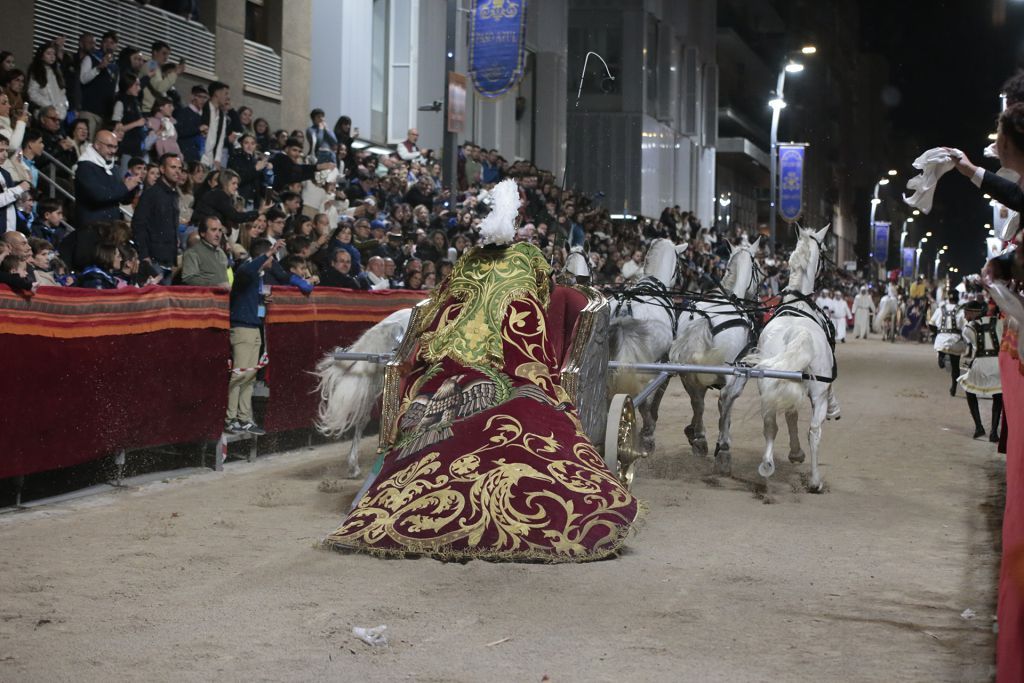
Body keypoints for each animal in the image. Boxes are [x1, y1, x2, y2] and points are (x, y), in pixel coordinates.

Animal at [671, 235, 761, 475]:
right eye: (759, 267)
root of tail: (705, 319)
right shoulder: (737, 376)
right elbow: (726, 407)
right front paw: (723, 443)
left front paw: (693, 431)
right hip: (733, 372)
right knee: (723, 399)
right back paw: (723, 452)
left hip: (687, 374)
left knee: (697, 401)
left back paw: (699, 440)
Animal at [745, 227, 839, 493]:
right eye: (825, 251)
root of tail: (796, 332)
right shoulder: (822, 384)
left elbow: (790, 415)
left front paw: (795, 453)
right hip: (817, 392)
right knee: (814, 431)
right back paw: (815, 481)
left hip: (767, 384)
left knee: (770, 425)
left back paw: (766, 470)